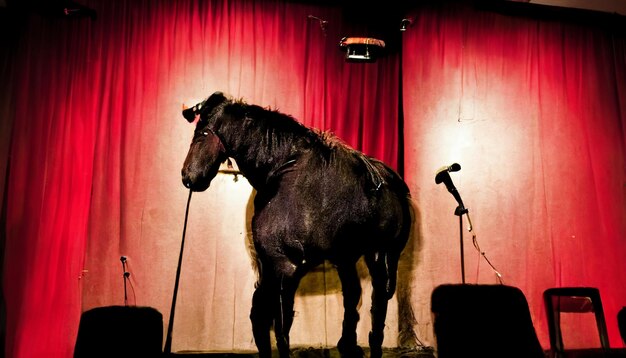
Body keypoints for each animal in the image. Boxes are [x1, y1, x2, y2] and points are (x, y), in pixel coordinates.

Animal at [179, 92, 414, 358]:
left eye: (201, 133)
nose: (187, 176)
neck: (282, 171)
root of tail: (394, 182)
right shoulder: (269, 266)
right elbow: (260, 317)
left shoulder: (285, 266)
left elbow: (281, 327)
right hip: (346, 257)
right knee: (353, 296)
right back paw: (348, 345)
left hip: (379, 255)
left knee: (378, 302)